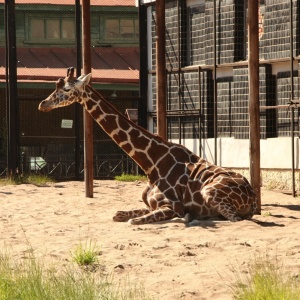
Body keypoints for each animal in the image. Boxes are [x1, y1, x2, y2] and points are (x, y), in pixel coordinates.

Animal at [38, 67, 258, 225]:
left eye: (66, 90)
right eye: (54, 87)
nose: (43, 104)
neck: (152, 164)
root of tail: (253, 196)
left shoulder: (172, 206)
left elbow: (135, 221)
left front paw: (184, 217)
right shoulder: (151, 205)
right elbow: (119, 214)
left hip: (209, 192)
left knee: (236, 219)